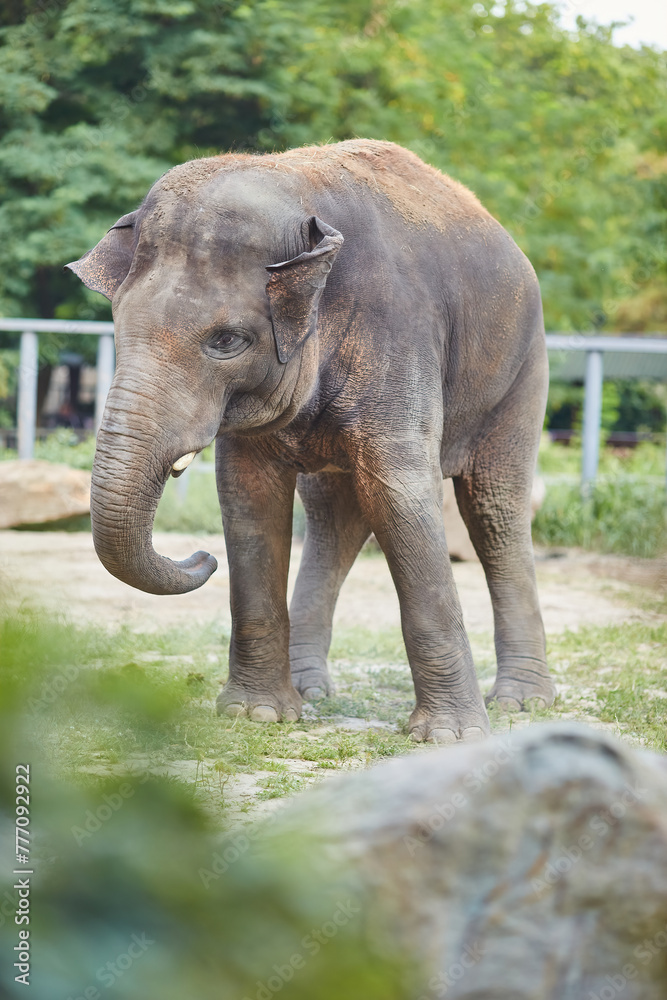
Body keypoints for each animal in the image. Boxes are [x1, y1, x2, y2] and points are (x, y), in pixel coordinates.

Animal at [67, 139, 556, 744]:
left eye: (227, 341)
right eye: (117, 323)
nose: (201, 556)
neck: (297, 193)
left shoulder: (399, 335)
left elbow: (401, 496)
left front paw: (450, 737)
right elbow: (248, 498)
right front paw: (255, 714)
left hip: (522, 375)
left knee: (493, 510)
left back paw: (521, 703)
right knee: (335, 520)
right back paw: (309, 692)